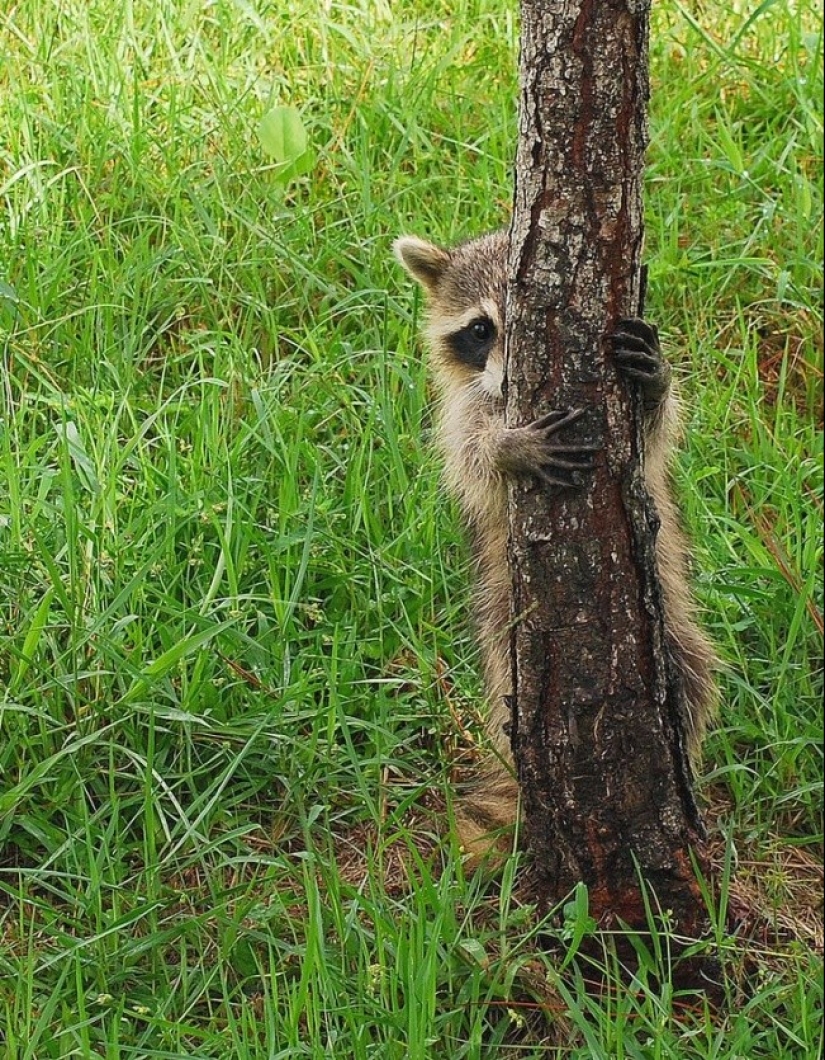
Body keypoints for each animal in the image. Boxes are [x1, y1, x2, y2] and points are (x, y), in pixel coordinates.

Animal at [394, 229, 717, 860]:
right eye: (480, 329)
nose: (504, 382)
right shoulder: (465, 408)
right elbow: (471, 460)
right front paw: (503, 449)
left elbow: (657, 434)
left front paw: (658, 382)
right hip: (503, 614)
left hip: (669, 615)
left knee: (690, 674)